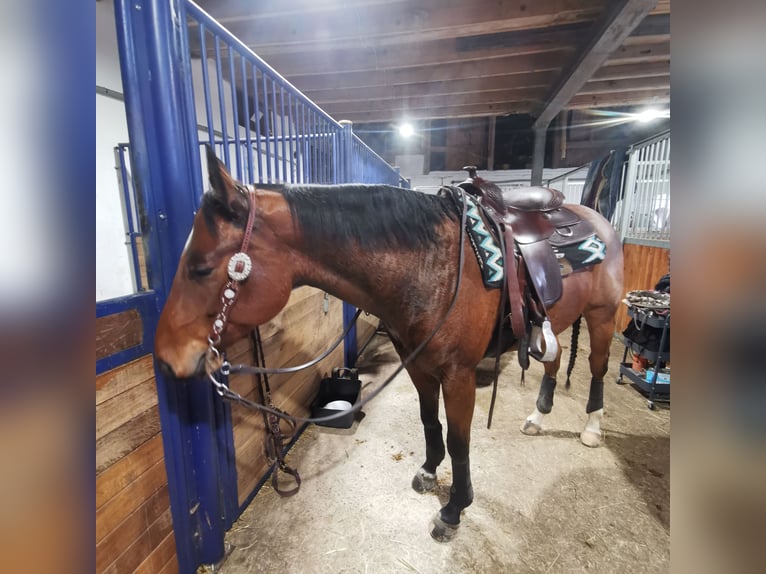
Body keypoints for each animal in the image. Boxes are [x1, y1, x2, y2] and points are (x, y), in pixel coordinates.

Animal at [154, 147, 624, 541]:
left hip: (601, 318)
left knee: (597, 369)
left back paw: (591, 428)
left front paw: (454, 509)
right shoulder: (417, 365)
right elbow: (429, 421)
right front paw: (430, 472)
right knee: (553, 362)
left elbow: (460, 440)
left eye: (200, 268)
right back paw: (537, 418)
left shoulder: (459, 375)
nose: (165, 356)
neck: (435, 266)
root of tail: (595, 216)